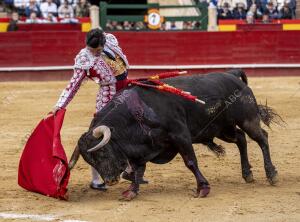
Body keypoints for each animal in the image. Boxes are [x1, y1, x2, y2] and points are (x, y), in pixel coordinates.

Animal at [68, 70, 278, 200]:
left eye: (102, 152)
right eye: (90, 160)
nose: (110, 181)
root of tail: (232, 74)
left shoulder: (180, 135)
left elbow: (190, 162)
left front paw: (203, 189)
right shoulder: (142, 147)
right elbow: (137, 168)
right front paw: (131, 191)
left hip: (248, 119)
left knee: (262, 138)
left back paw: (271, 174)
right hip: (223, 129)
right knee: (241, 139)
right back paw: (247, 174)